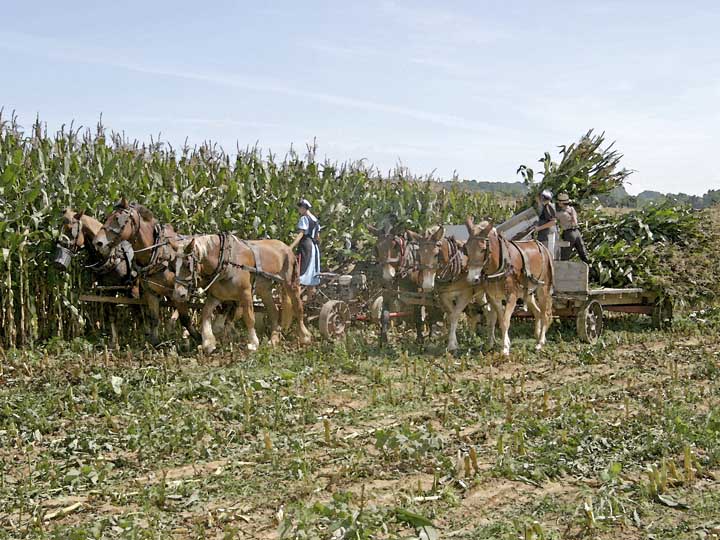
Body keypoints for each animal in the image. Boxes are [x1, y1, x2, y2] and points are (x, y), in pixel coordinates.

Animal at [93, 199, 201, 346]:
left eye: (117, 219)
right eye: (107, 217)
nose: (97, 243)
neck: (160, 254)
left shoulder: (178, 293)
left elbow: (185, 319)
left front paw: (197, 339)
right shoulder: (151, 293)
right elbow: (154, 318)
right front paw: (155, 343)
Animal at [172, 233, 312, 354]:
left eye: (187, 265)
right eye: (173, 266)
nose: (178, 294)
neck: (227, 261)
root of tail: (286, 247)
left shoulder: (246, 294)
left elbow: (249, 317)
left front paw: (253, 343)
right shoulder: (216, 296)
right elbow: (206, 313)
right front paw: (208, 343)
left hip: (291, 283)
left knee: (298, 308)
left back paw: (305, 336)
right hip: (264, 289)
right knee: (274, 311)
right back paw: (274, 339)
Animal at [464, 217, 556, 356]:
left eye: (482, 249)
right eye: (467, 248)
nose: (471, 278)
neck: (500, 265)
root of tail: (544, 248)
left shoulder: (511, 296)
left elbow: (505, 321)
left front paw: (505, 349)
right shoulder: (494, 297)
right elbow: (498, 319)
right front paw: (500, 344)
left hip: (543, 289)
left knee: (545, 314)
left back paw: (540, 343)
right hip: (528, 292)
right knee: (538, 312)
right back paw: (537, 335)